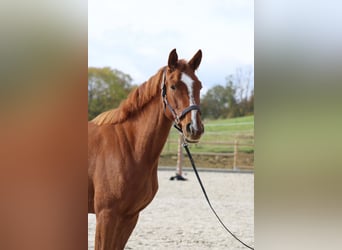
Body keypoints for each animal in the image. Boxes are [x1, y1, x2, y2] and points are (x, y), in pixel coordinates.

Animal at [89, 49, 204, 250]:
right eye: (173, 86)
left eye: (199, 86)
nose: (194, 128)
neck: (130, 145)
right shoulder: (106, 215)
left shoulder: (129, 217)